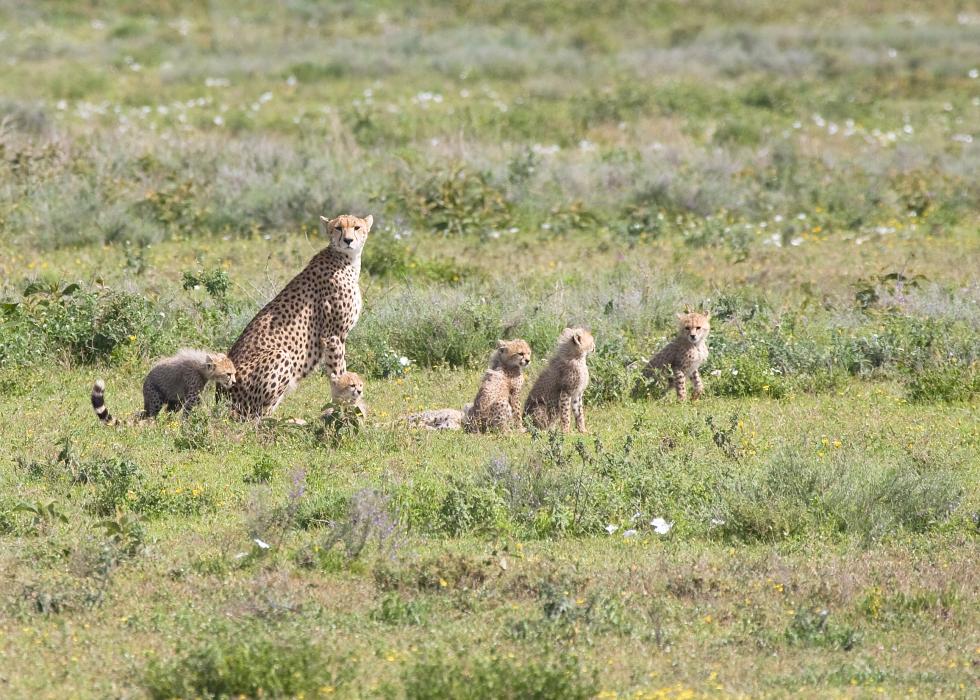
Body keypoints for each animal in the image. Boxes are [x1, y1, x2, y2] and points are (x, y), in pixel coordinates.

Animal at [92, 348, 237, 424]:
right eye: (228, 374)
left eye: (234, 373)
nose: (234, 382)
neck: (202, 367)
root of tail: (145, 380)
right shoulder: (192, 396)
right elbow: (192, 410)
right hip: (156, 400)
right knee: (150, 415)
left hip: (173, 402)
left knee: (145, 414)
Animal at [221, 213, 372, 418]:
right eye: (338, 228)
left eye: (356, 227)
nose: (348, 240)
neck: (346, 259)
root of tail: (220, 399)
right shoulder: (333, 335)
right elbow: (338, 371)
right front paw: (342, 405)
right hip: (281, 356)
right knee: (257, 417)